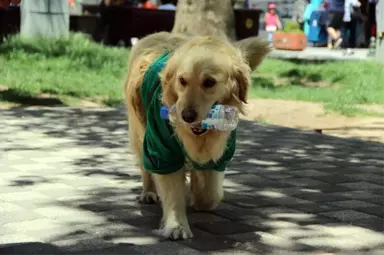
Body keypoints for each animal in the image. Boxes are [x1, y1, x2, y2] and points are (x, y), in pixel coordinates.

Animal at [124, 31, 268, 239]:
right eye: (182, 81)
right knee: (145, 167)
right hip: (140, 132)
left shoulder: (219, 154)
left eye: (209, 82)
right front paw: (176, 226)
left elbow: (208, 195)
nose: (187, 116)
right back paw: (148, 192)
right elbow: (172, 191)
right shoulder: (162, 148)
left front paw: (196, 194)